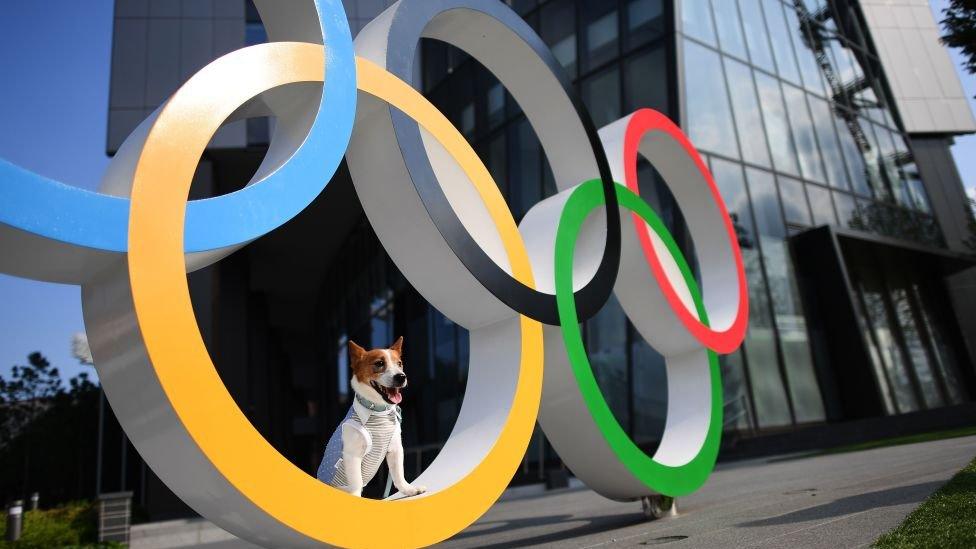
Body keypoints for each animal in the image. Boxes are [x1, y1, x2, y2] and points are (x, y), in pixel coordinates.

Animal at [314, 334, 426, 496]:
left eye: (399, 363)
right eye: (379, 363)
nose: (401, 377)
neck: (378, 411)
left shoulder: (395, 448)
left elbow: (399, 474)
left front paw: (409, 489)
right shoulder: (352, 456)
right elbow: (356, 483)